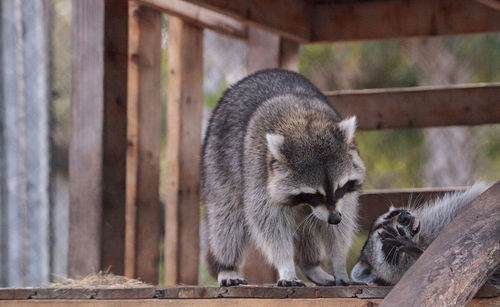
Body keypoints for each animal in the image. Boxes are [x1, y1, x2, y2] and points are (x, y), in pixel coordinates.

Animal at [200, 68, 368, 288]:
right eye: (315, 195)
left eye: (340, 188)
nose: (334, 219)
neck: (303, 121)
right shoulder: (259, 174)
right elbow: (269, 223)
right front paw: (286, 265)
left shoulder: (343, 198)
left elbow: (342, 224)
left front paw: (339, 261)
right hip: (217, 162)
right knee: (227, 220)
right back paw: (227, 266)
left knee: (308, 228)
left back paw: (310, 264)